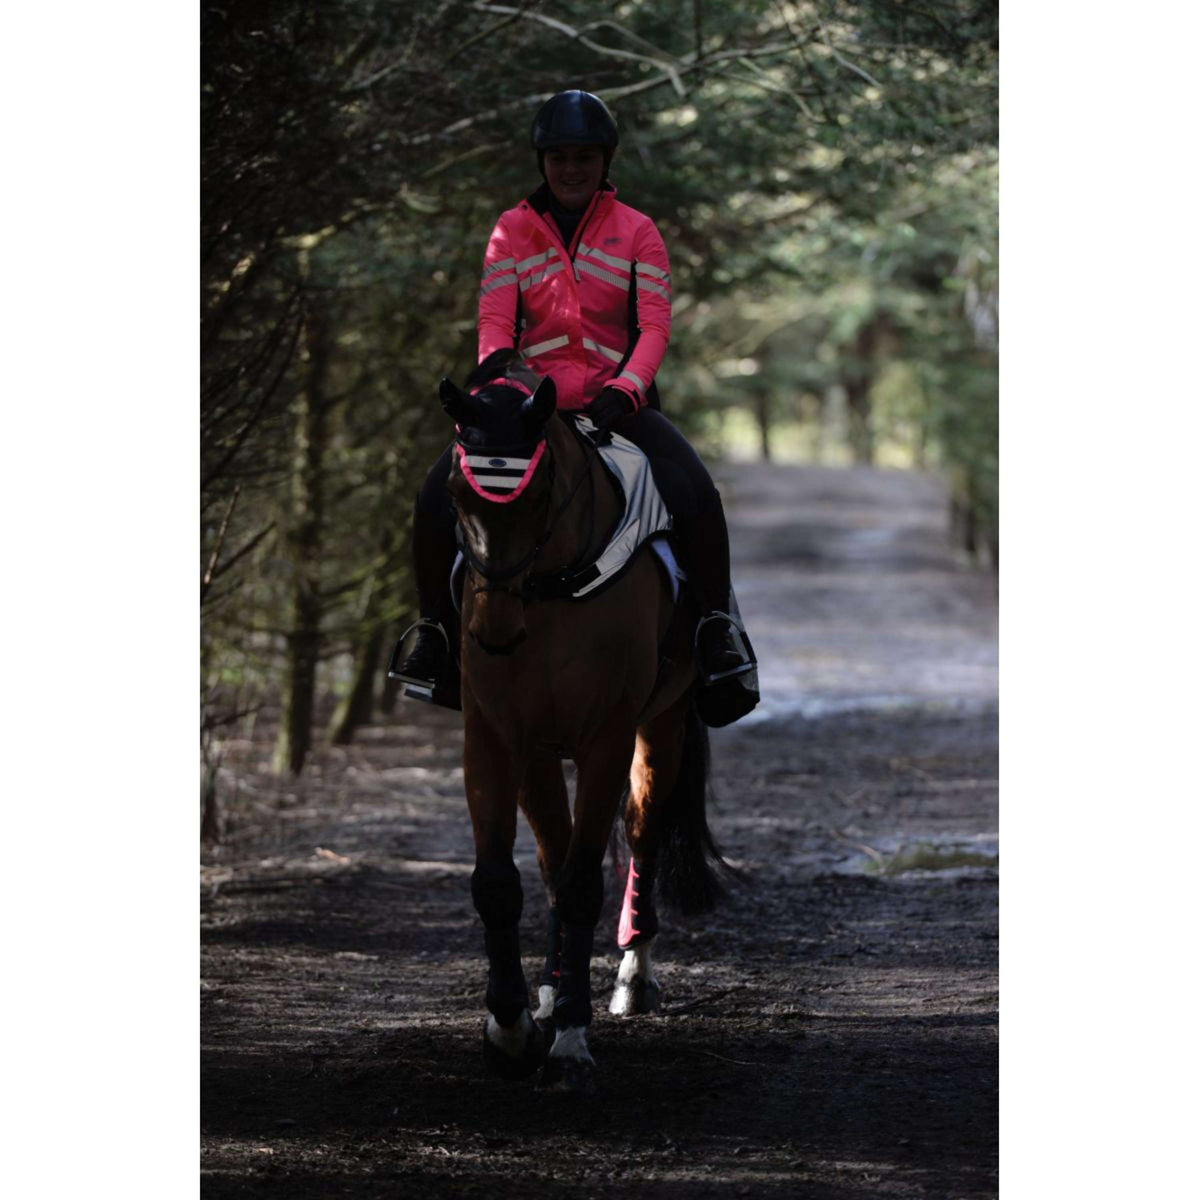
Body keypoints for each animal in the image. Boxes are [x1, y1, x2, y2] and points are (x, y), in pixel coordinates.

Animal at [436, 350, 724, 1094]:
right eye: (456, 495)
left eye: (539, 495)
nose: (493, 631)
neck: (547, 590)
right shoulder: (497, 736)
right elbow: (502, 881)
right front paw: (510, 1029)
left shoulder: (606, 740)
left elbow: (581, 882)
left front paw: (569, 1037)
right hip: (540, 753)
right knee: (551, 854)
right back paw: (548, 986)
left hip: (662, 727)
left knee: (639, 836)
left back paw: (631, 978)